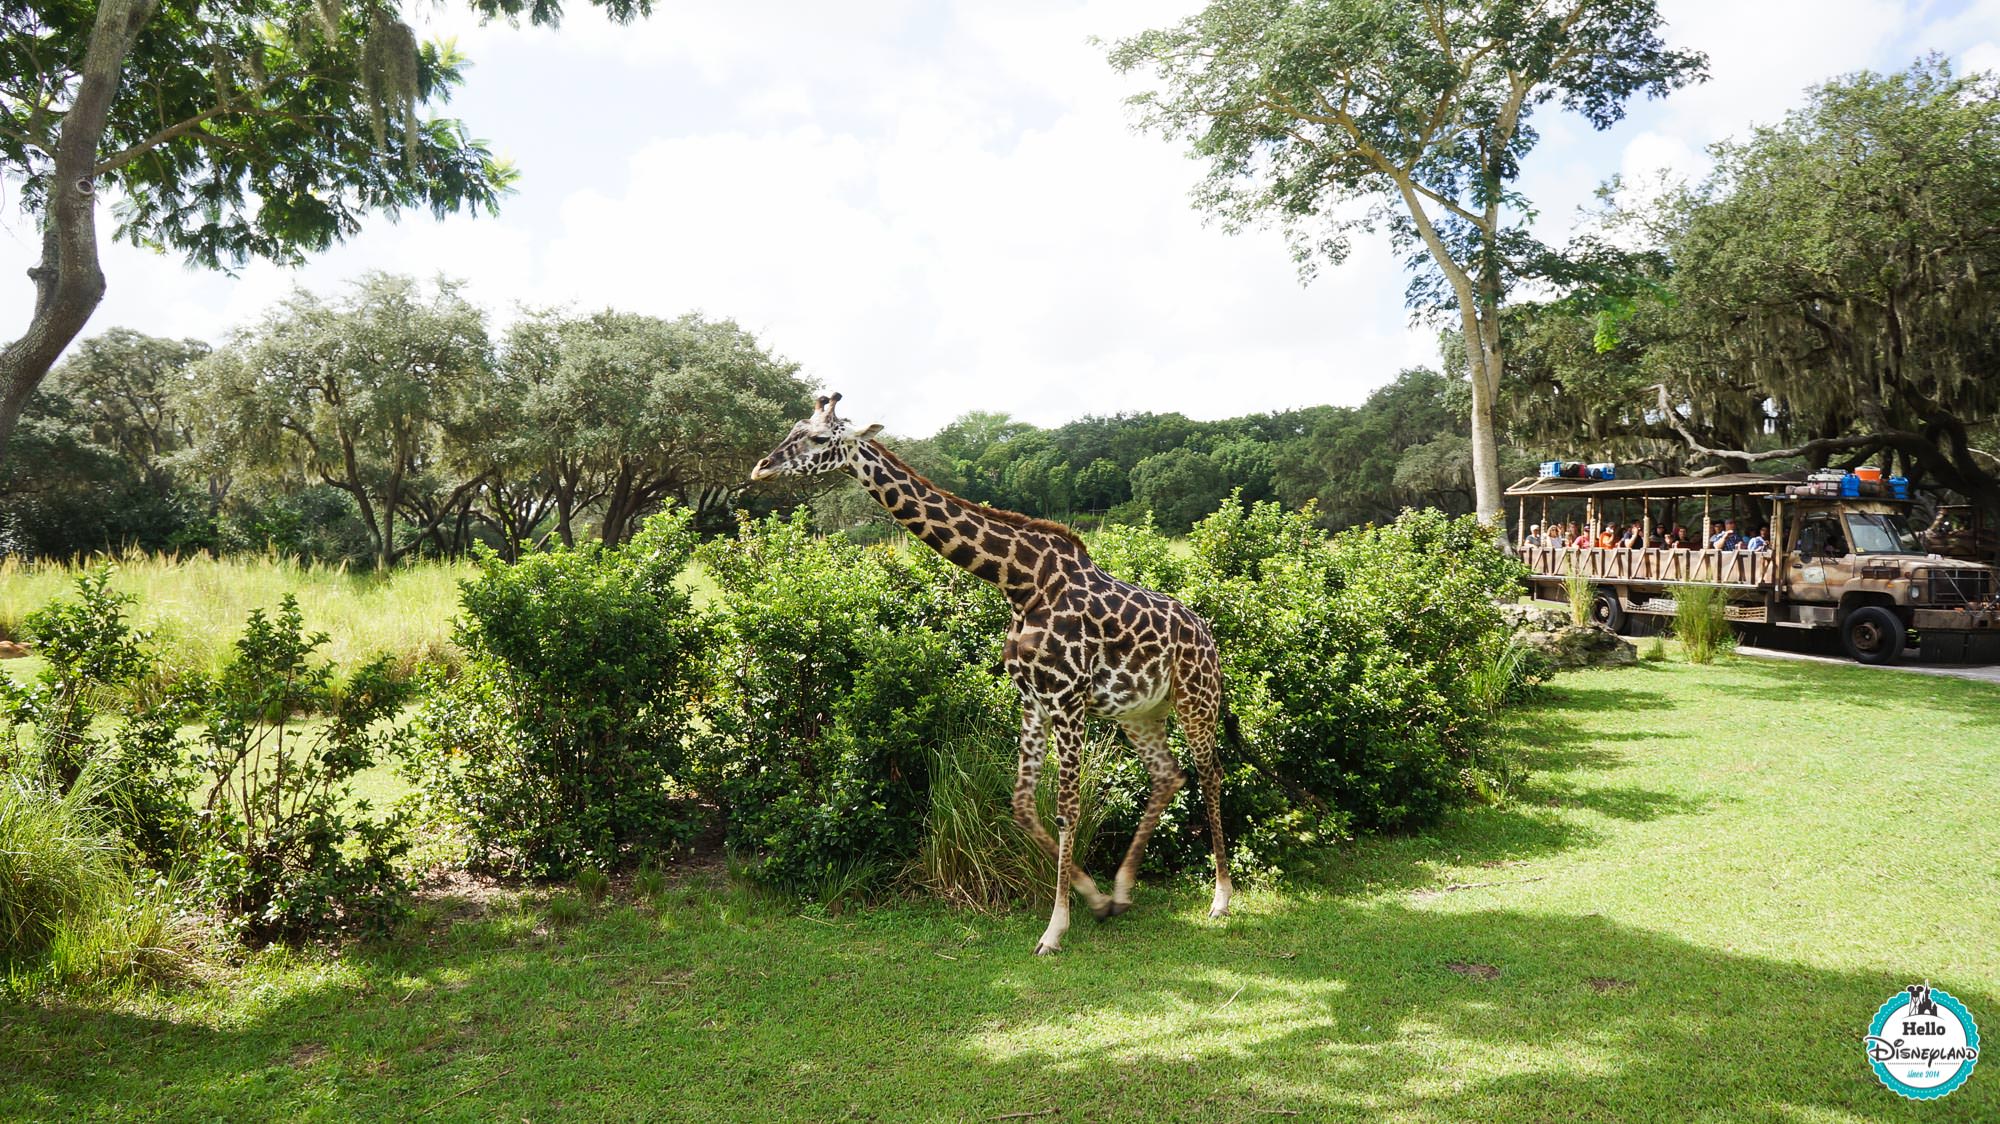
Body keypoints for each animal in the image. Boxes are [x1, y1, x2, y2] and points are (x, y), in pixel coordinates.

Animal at [748, 390, 1224, 948]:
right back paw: (1124, 891)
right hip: (1140, 711)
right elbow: (1021, 804)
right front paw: (1096, 899)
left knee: (1209, 773)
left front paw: (1055, 928)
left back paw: (1220, 898)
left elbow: (1067, 811)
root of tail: (1208, 634)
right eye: (791, 430)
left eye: (820, 438)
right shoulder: (1033, 699)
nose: (760, 468)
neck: (1019, 582)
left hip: (1196, 699)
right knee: (1168, 774)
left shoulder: (1068, 699)